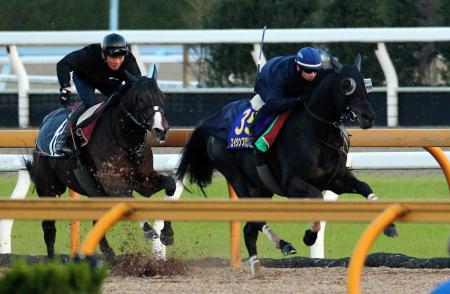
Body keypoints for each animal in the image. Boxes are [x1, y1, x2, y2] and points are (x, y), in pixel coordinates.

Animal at [23, 68, 176, 260]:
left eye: (163, 96)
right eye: (141, 99)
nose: (160, 130)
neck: (125, 141)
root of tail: (45, 122)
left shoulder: (144, 180)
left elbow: (170, 183)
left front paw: (167, 233)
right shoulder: (113, 184)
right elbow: (128, 201)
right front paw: (149, 230)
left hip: (93, 191)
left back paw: (108, 253)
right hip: (47, 188)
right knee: (49, 228)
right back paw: (52, 259)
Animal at [176, 55, 398, 274]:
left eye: (365, 83)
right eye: (346, 85)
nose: (368, 117)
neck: (316, 131)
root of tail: (210, 124)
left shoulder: (337, 180)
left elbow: (365, 187)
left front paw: (389, 226)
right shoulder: (292, 184)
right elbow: (317, 199)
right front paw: (309, 235)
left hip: (261, 187)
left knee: (249, 229)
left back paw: (257, 265)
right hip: (235, 175)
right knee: (254, 219)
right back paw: (283, 244)